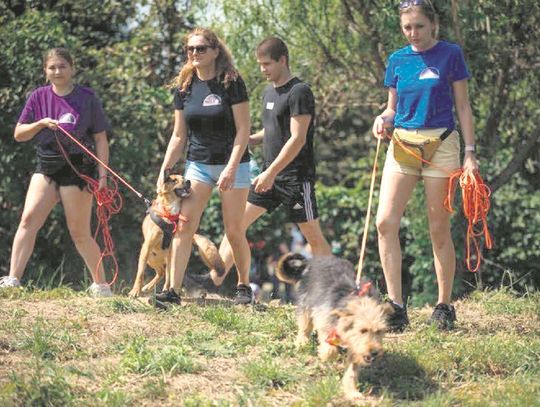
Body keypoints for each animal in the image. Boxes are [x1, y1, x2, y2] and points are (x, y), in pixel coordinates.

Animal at [278, 255, 392, 402]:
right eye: (362, 330)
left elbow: (352, 371)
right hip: (306, 302)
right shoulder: (324, 318)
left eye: (379, 331)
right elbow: (329, 347)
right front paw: (327, 355)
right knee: (304, 325)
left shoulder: (355, 348)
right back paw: (301, 342)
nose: (374, 353)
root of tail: (312, 260)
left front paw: (352, 391)